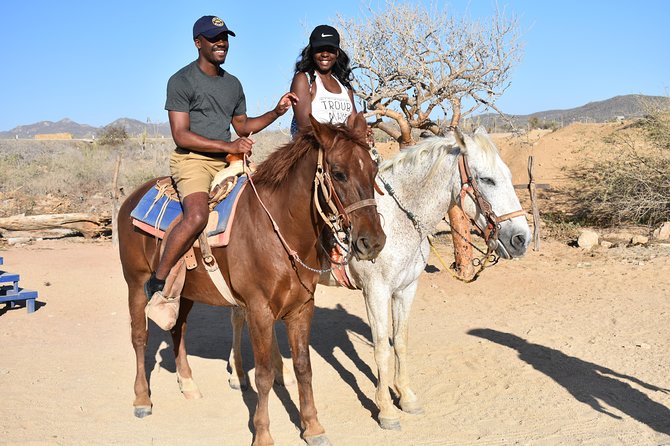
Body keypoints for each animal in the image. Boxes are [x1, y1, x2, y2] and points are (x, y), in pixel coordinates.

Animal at [118, 115, 386, 446]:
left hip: (186, 292)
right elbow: (264, 374)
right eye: (338, 173)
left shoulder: (302, 308)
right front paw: (263, 433)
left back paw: (189, 385)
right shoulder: (259, 311)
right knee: (139, 337)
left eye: (373, 171)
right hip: (135, 284)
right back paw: (142, 399)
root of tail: (130, 199)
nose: (373, 242)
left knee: (178, 329)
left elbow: (303, 366)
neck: (278, 229)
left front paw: (312, 426)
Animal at [228, 125, 532, 428]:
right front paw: (386, 408)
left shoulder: (406, 289)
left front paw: (406, 397)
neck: (400, 219)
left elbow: (400, 342)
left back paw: (280, 374)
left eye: (508, 176)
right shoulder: (375, 291)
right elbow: (381, 347)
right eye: (487, 179)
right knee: (239, 317)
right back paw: (238, 376)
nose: (521, 239)